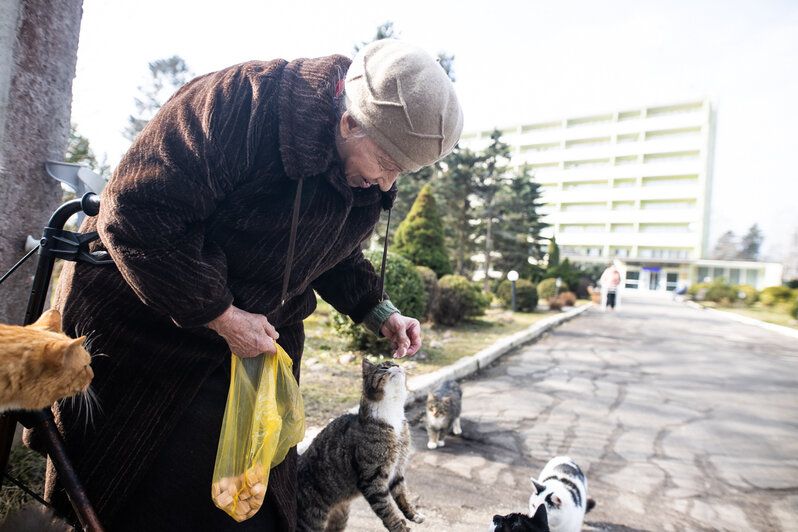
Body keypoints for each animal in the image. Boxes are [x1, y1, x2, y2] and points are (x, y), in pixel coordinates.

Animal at [298, 358, 424, 532]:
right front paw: (400, 527)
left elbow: (402, 495)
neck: (393, 414)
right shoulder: (372, 478)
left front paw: (414, 515)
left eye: (395, 363)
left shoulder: (397, 470)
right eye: (384, 367)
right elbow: (387, 508)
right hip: (312, 520)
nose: (397, 366)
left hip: (340, 517)